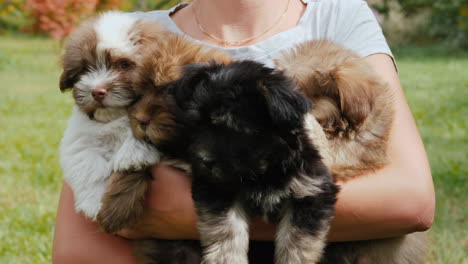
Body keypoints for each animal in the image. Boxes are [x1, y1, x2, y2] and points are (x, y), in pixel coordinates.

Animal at [158, 60, 340, 264]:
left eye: (236, 130)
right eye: (198, 125)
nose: (203, 160)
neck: (262, 172)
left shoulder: (310, 190)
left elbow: (297, 245)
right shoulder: (219, 188)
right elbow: (226, 230)